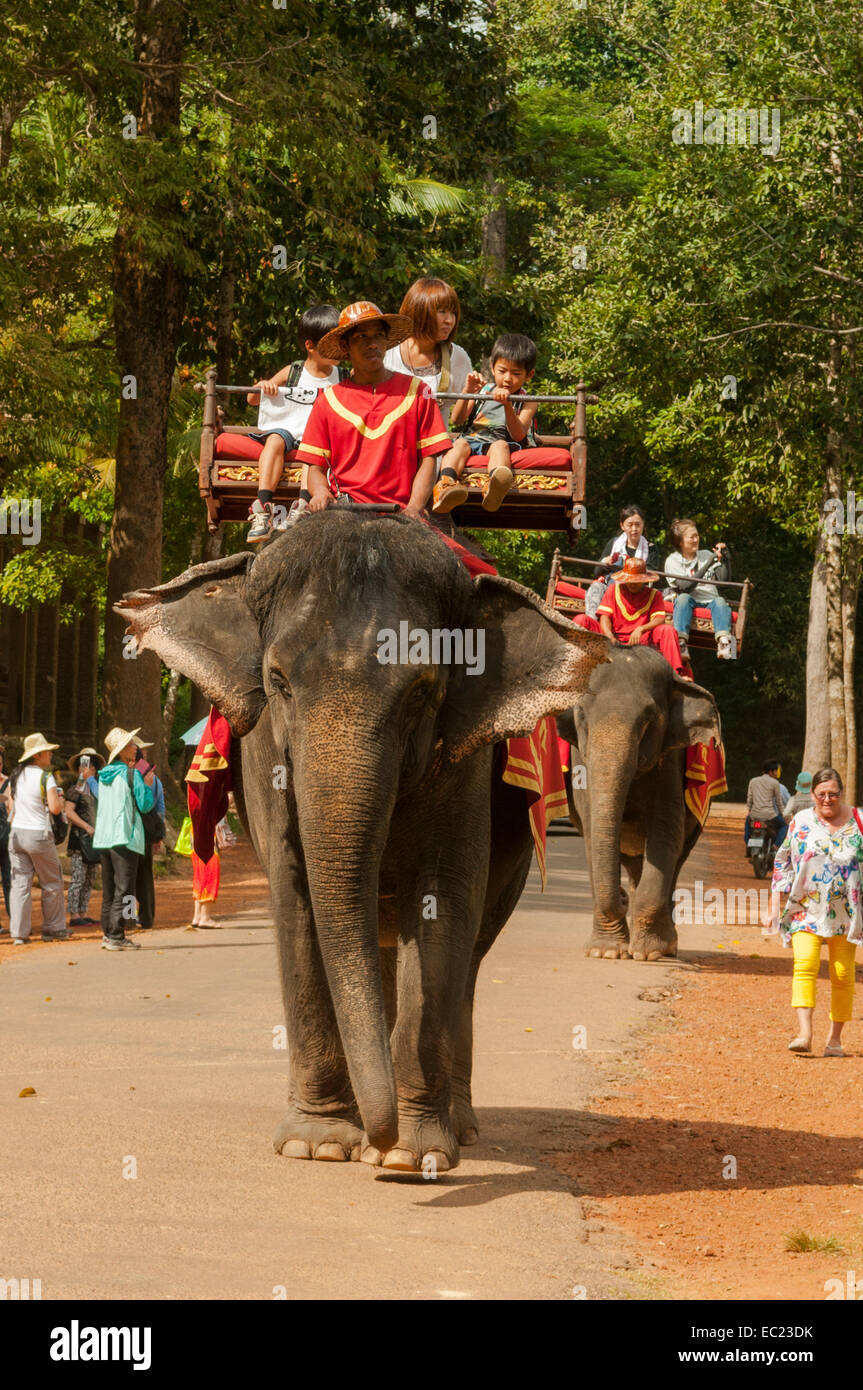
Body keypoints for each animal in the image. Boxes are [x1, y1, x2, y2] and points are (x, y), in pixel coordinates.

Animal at [116, 511, 607, 1173]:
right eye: (277, 681)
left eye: (423, 689)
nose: (381, 1134)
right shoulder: (267, 758)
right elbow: (297, 898)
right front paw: (319, 1144)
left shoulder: (464, 763)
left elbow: (442, 900)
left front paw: (409, 1156)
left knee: (470, 955)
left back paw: (460, 1124)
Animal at [556, 645, 722, 961]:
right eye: (581, 714)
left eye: (649, 719)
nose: (620, 900)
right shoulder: (580, 758)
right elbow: (592, 829)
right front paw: (605, 951)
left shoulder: (671, 759)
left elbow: (666, 832)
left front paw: (650, 953)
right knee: (632, 862)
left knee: (675, 858)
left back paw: (665, 943)